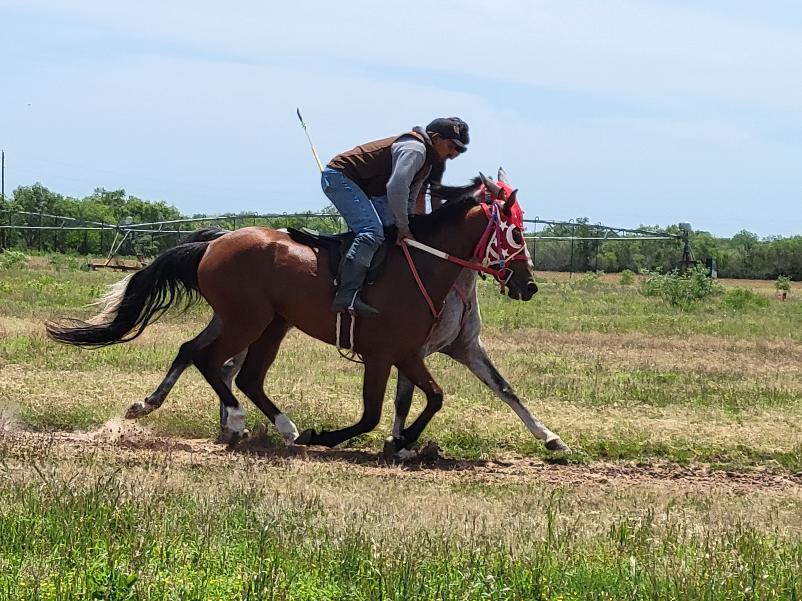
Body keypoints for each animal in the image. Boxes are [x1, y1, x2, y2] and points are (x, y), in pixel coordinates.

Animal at [46, 176, 538, 452]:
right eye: (514, 232)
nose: (528, 285)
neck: (421, 264)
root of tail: (216, 241)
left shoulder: (408, 353)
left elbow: (432, 398)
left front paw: (404, 442)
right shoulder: (384, 355)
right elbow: (376, 413)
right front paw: (343, 438)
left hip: (264, 322)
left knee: (219, 364)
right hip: (249, 320)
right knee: (213, 362)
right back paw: (243, 421)